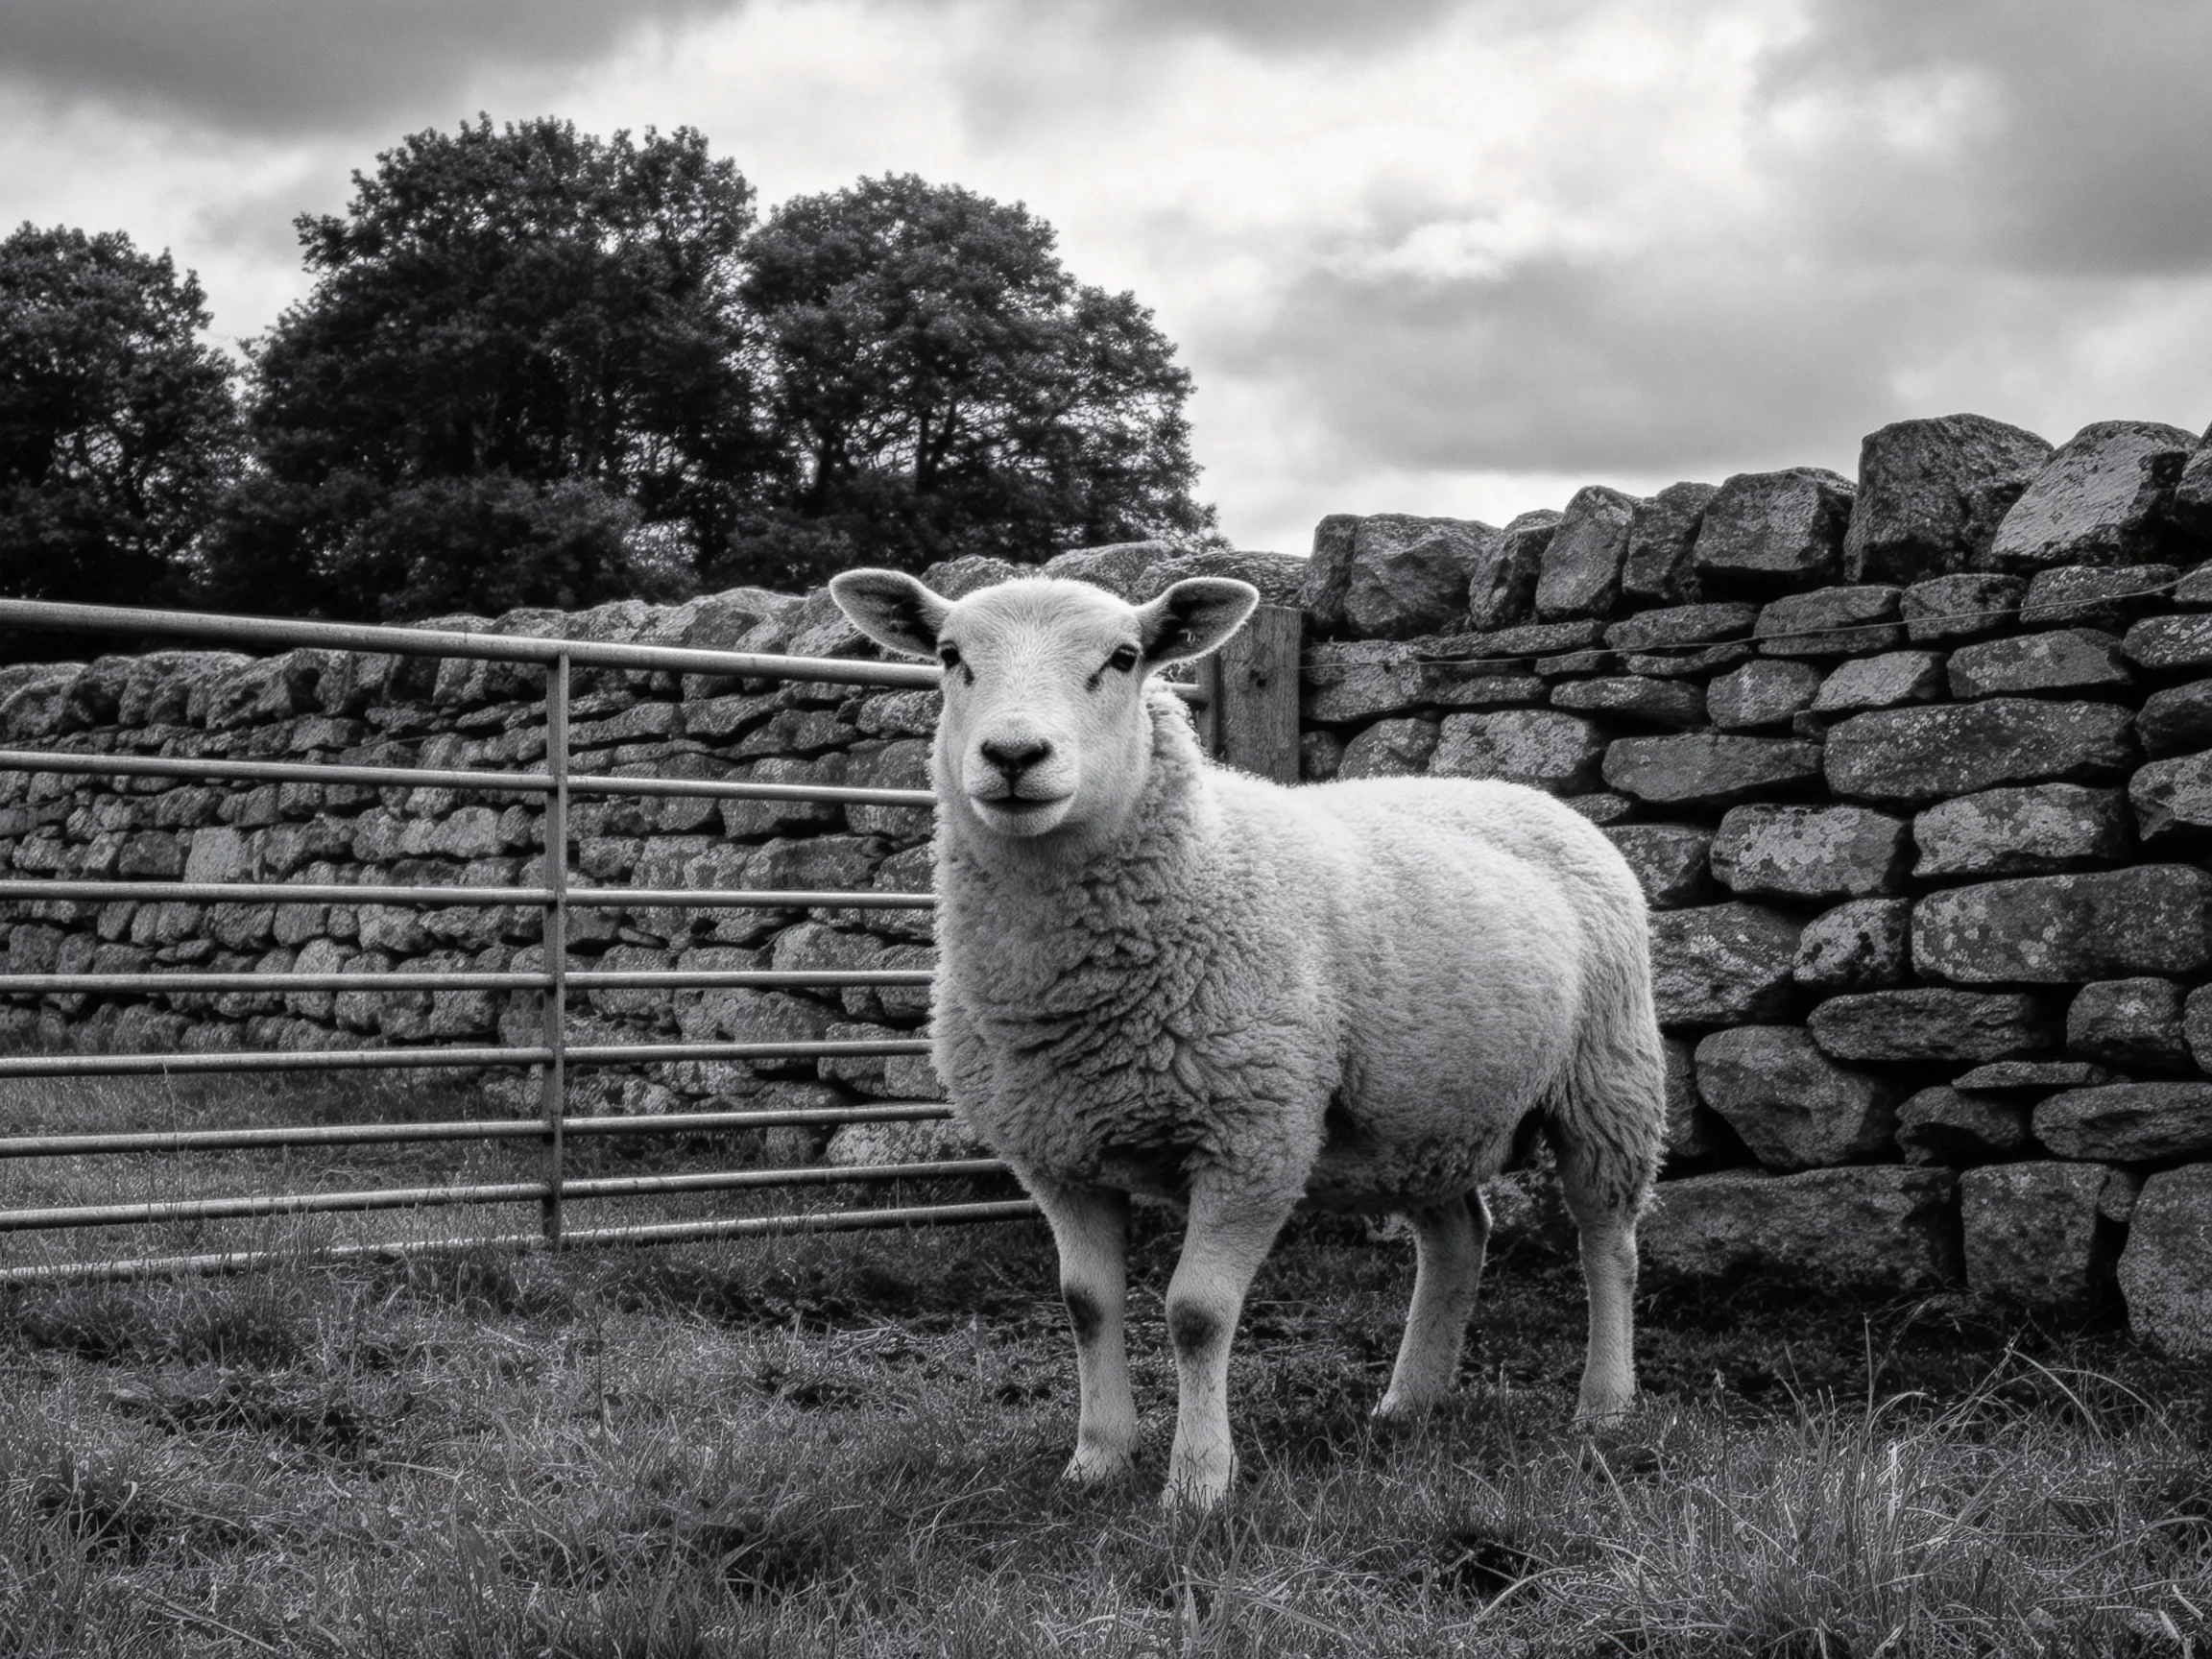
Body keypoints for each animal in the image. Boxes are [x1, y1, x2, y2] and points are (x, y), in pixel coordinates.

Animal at [830, 568, 1666, 1509]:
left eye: (1125, 658)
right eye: (949, 656)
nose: (1013, 756)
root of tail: (1525, 792)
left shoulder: (1254, 1134)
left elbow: (1197, 1313)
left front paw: (1197, 1484)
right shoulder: (1056, 1150)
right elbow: (1085, 1303)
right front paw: (1096, 1460)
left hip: (1609, 1078)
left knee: (1609, 1242)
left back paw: (1604, 1405)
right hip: (1426, 1115)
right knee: (1458, 1237)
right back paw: (1409, 1403)